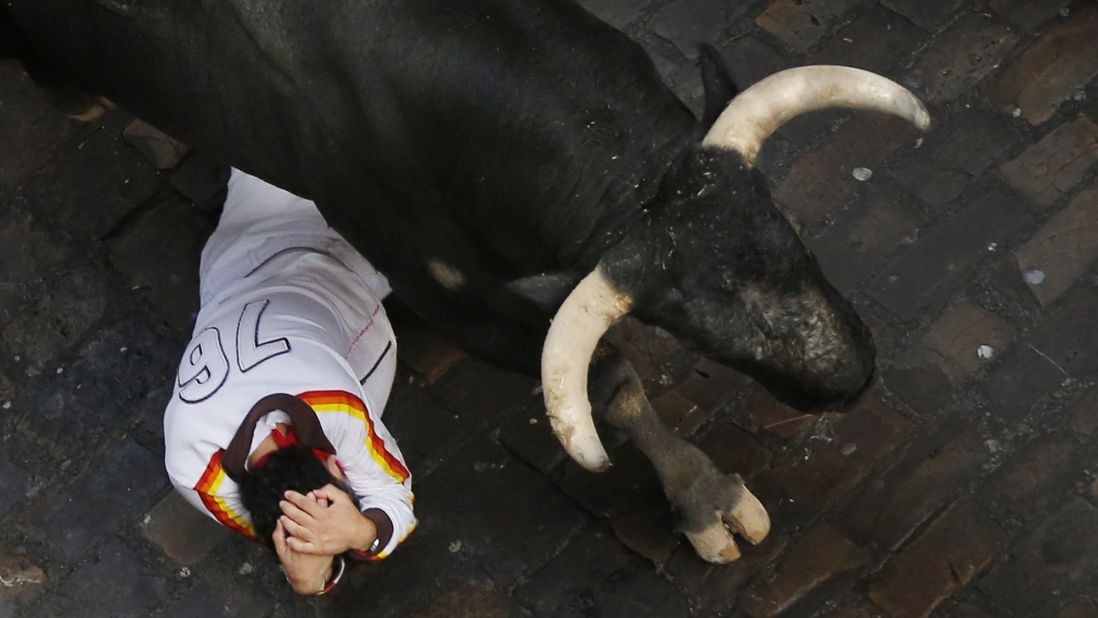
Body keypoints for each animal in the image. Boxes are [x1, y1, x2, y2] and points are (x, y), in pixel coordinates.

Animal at [2, 0, 935, 562]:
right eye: (687, 323)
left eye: (788, 230)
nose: (850, 376)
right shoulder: (446, 290)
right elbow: (610, 379)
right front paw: (705, 497)